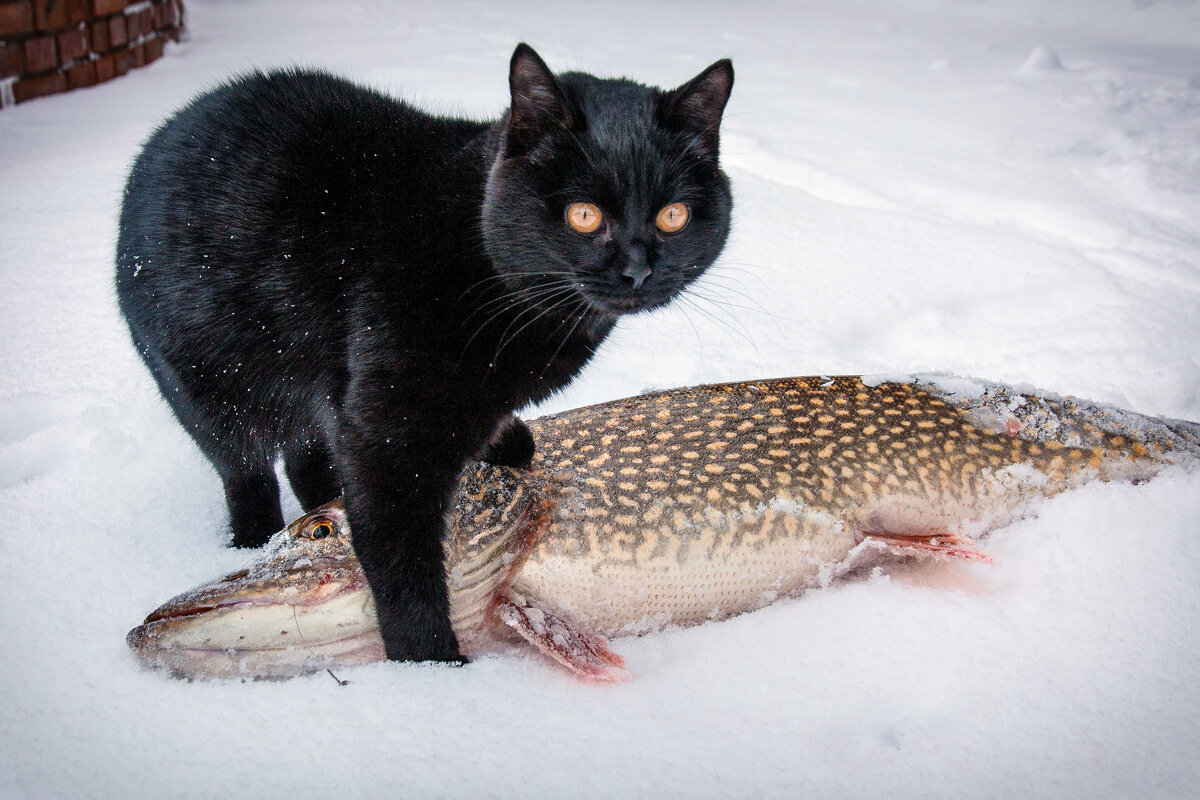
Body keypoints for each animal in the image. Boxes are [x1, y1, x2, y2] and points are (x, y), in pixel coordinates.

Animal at [114, 43, 729, 662]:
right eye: (583, 215)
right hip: (210, 388)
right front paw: (429, 661)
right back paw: (253, 538)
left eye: (673, 216)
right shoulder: (384, 431)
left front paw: (505, 438)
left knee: (304, 453)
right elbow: (400, 556)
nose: (637, 271)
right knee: (246, 471)